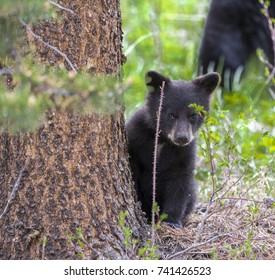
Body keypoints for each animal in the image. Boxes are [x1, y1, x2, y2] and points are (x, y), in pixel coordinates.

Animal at [126, 70, 220, 228]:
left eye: (193, 115)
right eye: (171, 115)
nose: (182, 137)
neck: (163, 140)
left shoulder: (183, 153)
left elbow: (179, 182)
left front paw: (171, 221)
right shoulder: (136, 140)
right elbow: (134, 173)